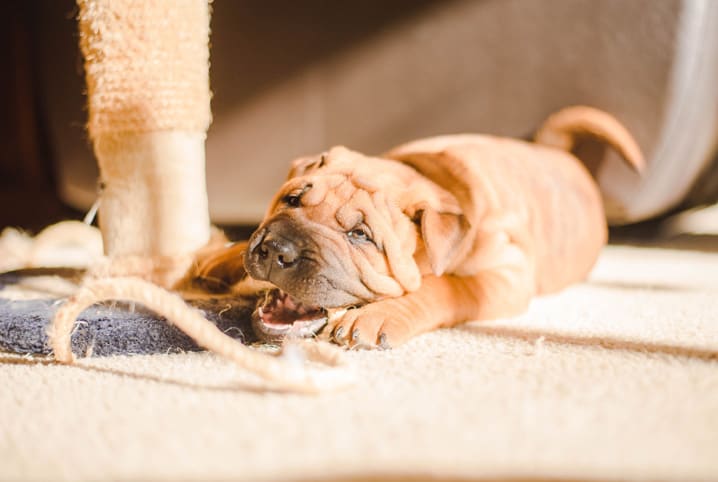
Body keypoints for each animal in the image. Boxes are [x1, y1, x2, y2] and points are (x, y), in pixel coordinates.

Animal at [193, 105, 648, 348]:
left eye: (360, 236)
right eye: (292, 201)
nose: (276, 250)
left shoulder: (507, 273)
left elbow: (446, 287)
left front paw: (374, 318)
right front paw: (219, 258)